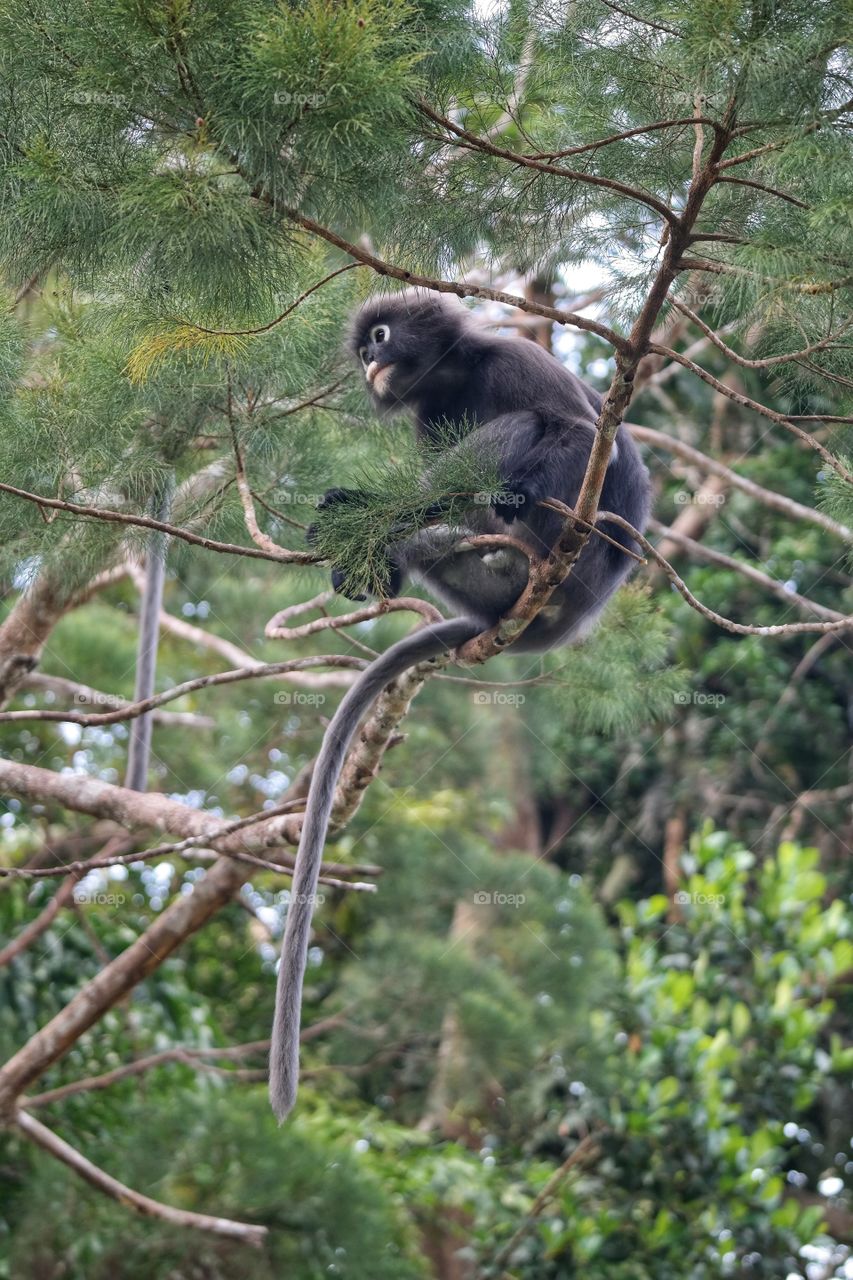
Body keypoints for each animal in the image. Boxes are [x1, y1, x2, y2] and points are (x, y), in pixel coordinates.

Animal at [269, 289, 651, 1120]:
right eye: (362, 351)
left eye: (380, 338)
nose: (369, 364)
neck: (452, 380)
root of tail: (557, 618)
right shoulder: (423, 419)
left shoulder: (513, 358)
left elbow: (580, 430)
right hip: (475, 574)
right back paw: (379, 550)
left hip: (554, 548)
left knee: (543, 433)